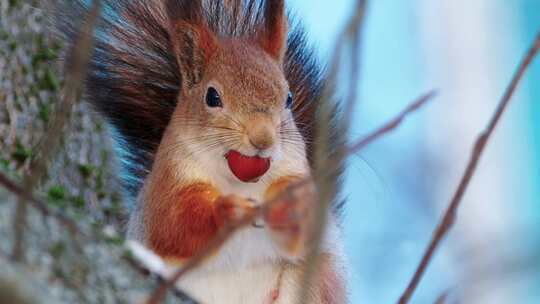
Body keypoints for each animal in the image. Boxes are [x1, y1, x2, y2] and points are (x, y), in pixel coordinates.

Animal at [57, 1, 346, 302]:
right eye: (212, 97)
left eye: (288, 99)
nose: (263, 139)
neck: (241, 181)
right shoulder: (167, 182)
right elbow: (174, 224)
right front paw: (227, 211)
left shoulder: (297, 172)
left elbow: (305, 233)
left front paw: (292, 204)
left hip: (312, 281)